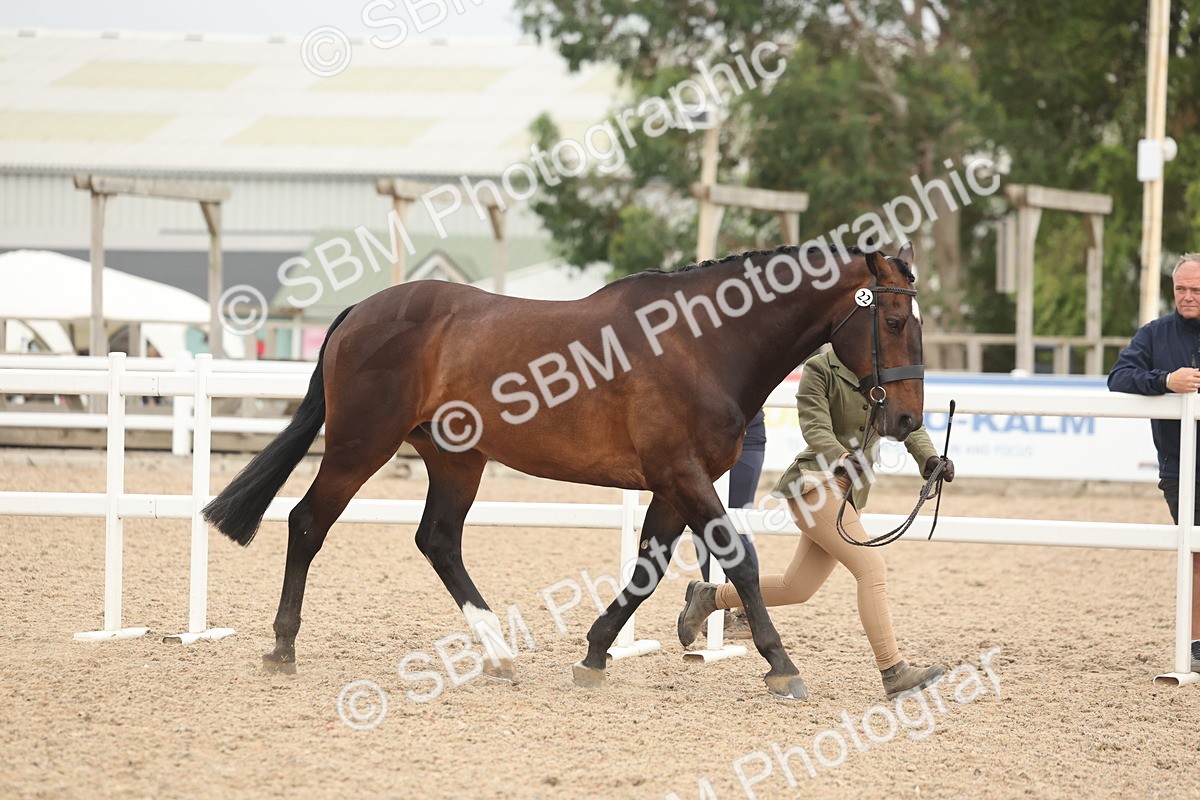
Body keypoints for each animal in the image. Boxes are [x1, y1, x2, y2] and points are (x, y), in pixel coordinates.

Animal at [202, 241, 924, 700]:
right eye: (892, 320)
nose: (907, 420)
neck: (702, 344)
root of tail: (362, 310)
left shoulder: (671, 486)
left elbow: (647, 571)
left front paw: (596, 652)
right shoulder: (683, 475)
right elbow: (739, 560)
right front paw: (780, 664)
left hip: (456, 460)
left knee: (438, 541)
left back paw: (498, 656)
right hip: (361, 445)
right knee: (307, 523)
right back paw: (283, 649)